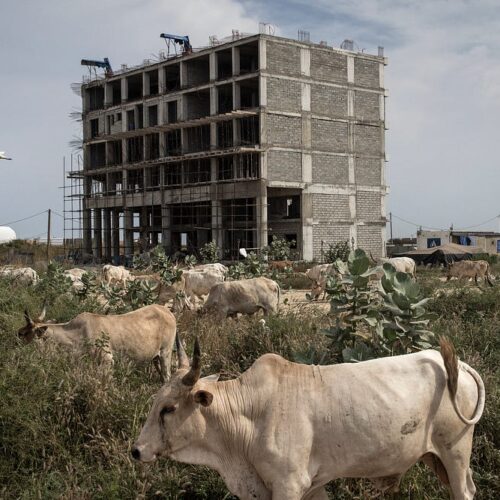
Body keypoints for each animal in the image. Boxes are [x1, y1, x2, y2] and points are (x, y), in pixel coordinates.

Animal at [133, 338, 484, 498]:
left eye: (169, 408)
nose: (136, 451)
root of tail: (459, 366)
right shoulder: (312, 486)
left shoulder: (289, 485)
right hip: (438, 459)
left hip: (455, 453)